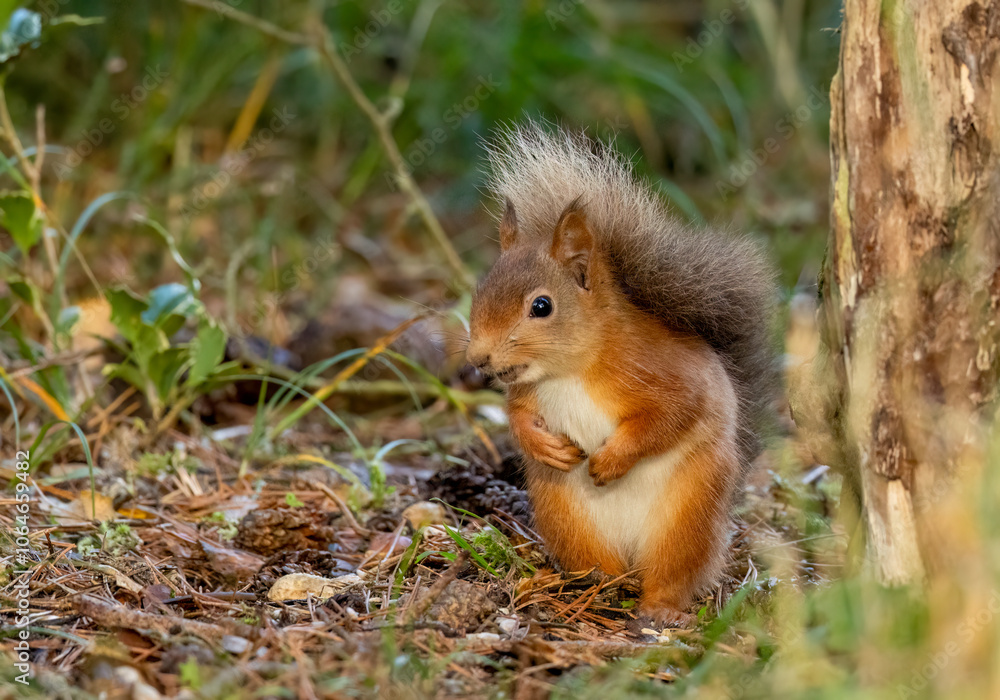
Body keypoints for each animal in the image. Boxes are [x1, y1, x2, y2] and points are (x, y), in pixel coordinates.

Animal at [466, 123, 775, 626]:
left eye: (541, 306)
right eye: (480, 290)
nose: (478, 359)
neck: (569, 370)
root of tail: (631, 560)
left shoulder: (664, 373)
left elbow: (670, 416)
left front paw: (611, 460)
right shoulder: (526, 392)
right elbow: (517, 417)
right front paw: (543, 445)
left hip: (688, 515)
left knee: (673, 572)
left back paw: (659, 607)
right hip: (565, 515)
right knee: (598, 566)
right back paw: (583, 587)